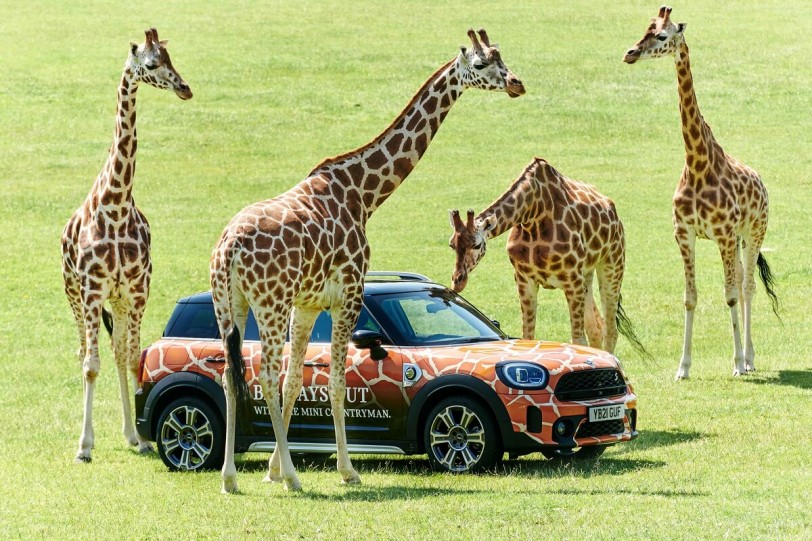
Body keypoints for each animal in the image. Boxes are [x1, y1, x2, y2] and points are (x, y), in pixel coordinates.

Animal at [61, 28, 193, 460]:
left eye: (170, 57)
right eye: (151, 64)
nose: (184, 88)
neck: (116, 205)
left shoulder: (136, 291)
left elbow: (132, 357)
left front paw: (141, 436)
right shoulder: (91, 292)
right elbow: (91, 365)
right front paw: (84, 446)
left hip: (116, 303)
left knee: (118, 352)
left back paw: (132, 437)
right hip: (73, 295)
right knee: (83, 352)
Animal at [211, 29, 528, 494]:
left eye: (501, 56)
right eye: (482, 64)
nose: (516, 84)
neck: (362, 194)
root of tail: (229, 247)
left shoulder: (307, 303)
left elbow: (295, 380)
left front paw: (271, 468)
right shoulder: (349, 293)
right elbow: (335, 383)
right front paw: (344, 470)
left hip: (230, 304)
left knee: (231, 377)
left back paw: (231, 477)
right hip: (269, 303)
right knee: (263, 375)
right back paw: (294, 479)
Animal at [448, 158, 644, 356]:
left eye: (476, 245)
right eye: (452, 245)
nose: (458, 282)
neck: (532, 215)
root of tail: (613, 211)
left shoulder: (572, 280)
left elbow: (578, 341)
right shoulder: (524, 279)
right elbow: (527, 337)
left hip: (612, 263)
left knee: (610, 329)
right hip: (586, 276)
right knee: (596, 328)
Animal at [624, 4, 776, 378]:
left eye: (662, 35)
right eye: (645, 29)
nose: (630, 53)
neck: (696, 163)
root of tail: (761, 183)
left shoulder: (722, 234)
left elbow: (731, 294)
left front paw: (736, 363)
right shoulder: (684, 233)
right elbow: (690, 297)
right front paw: (683, 367)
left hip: (754, 232)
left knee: (747, 287)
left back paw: (749, 358)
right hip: (738, 240)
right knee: (743, 281)